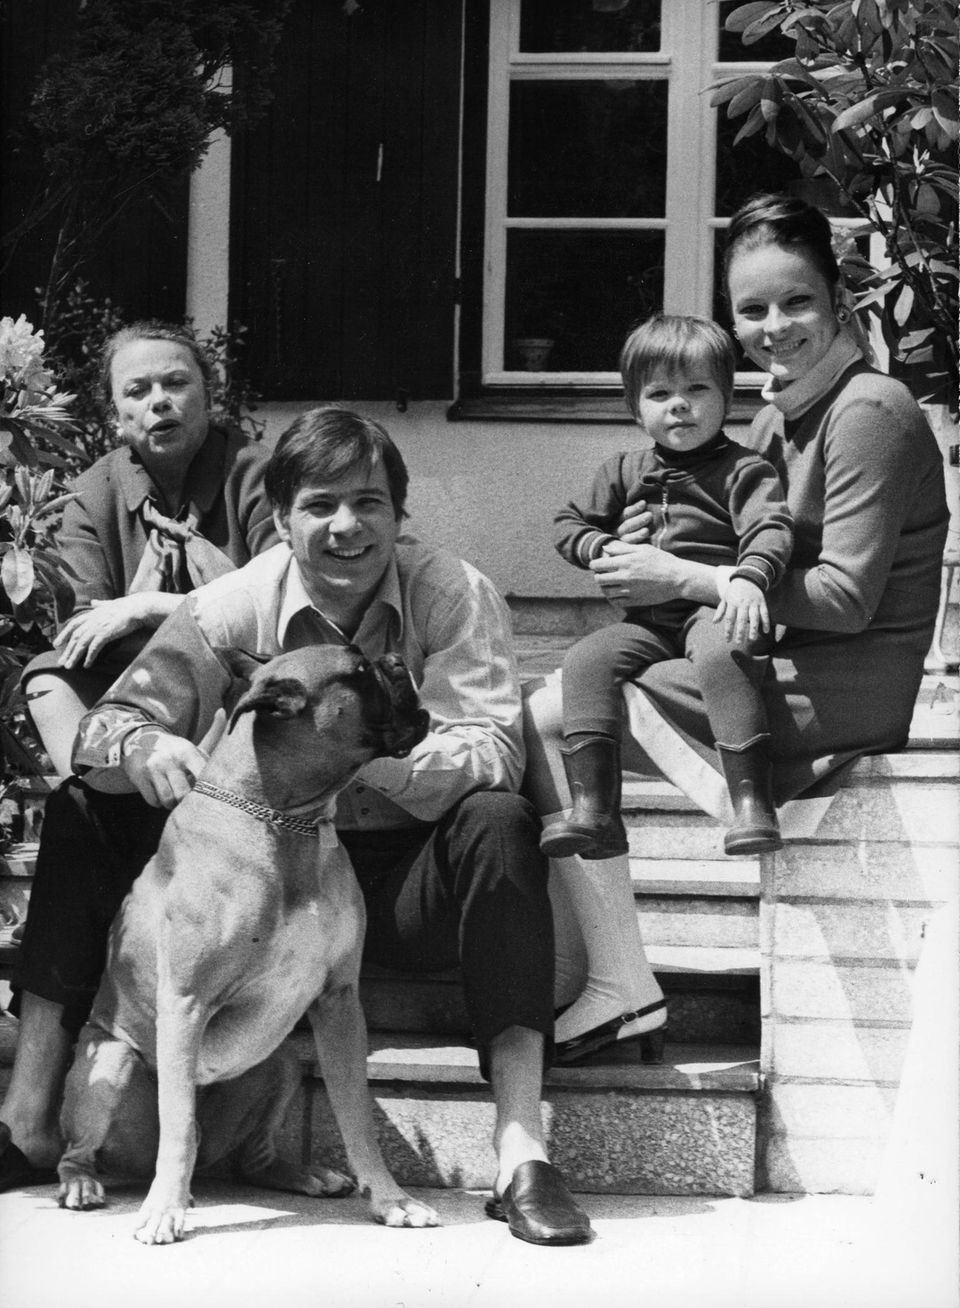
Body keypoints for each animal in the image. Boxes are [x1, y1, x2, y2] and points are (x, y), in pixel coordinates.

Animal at [56, 648, 439, 1239]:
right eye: (357, 671)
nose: (397, 660)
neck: (286, 819)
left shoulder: (339, 1002)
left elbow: (356, 1113)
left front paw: (392, 1200)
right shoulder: (185, 1001)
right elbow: (178, 1124)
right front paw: (164, 1210)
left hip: (278, 1062)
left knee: (252, 1158)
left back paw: (301, 1176)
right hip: (112, 1063)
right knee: (86, 1150)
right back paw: (88, 1184)